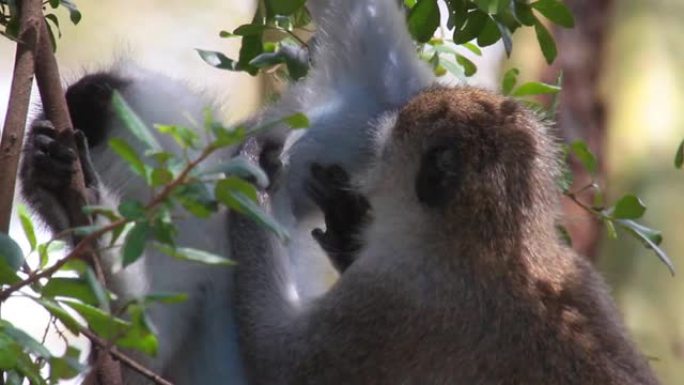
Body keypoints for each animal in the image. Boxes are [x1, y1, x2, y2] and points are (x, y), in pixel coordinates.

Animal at [231, 85, 664, 382]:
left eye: (382, 150)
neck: (489, 241)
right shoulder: (582, 273)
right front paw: (347, 224)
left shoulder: (392, 299)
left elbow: (277, 359)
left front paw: (251, 172)